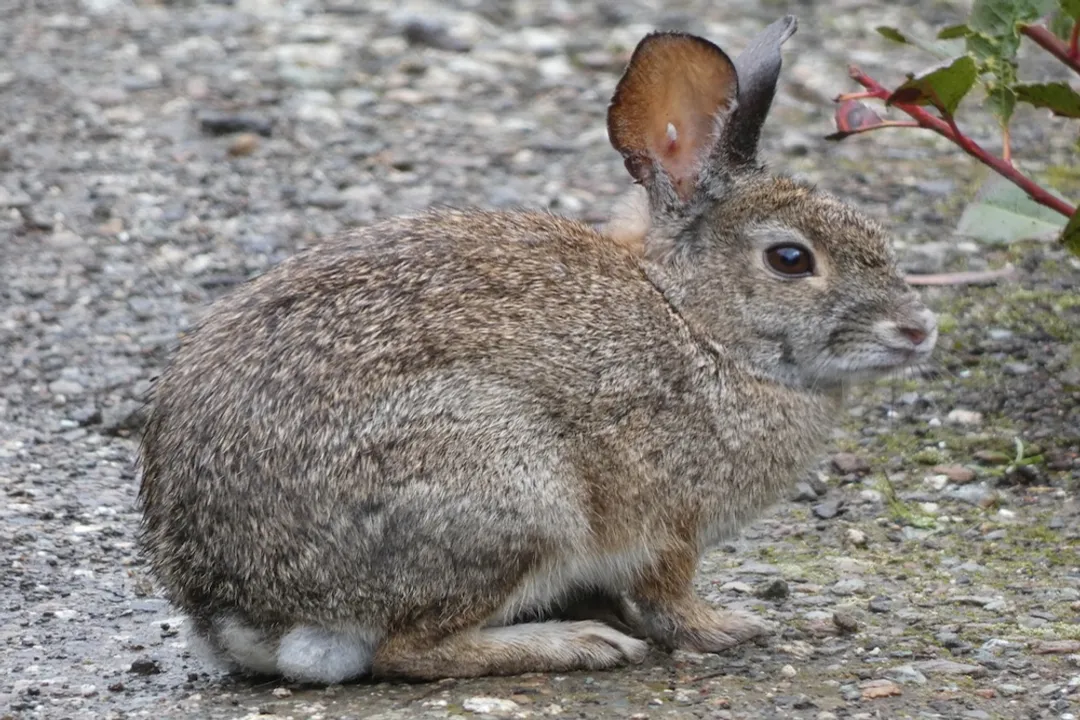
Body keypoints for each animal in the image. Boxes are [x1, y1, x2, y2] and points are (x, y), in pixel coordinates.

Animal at [137, 15, 938, 685]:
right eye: (791, 259)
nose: (917, 329)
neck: (696, 322)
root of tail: (237, 612)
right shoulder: (669, 523)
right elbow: (669, 595)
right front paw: (728, 628)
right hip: (506, 489)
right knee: (409, 651)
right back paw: (579, 644)